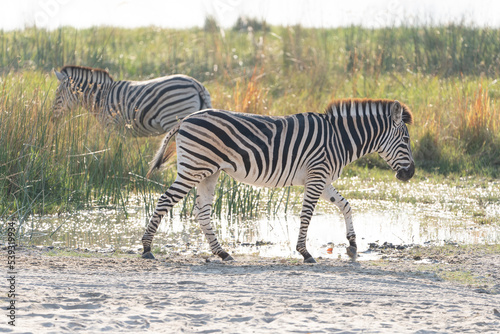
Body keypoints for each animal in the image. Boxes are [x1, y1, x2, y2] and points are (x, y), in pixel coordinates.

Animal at [52, 65, 211, 136]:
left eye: (57, 94)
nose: (52, 120)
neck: (100, 97)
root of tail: (196, 84)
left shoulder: (110, 125)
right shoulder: (120, 130)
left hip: (174, 120)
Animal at [142, 99, 414, 264]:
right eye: (406, 140)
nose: (410, 174)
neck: (339, 139)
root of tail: (185, 119)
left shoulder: (322, 178)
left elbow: (345, 205)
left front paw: (353, 244)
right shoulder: (316, 176)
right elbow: (307, 215)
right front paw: (305, 253)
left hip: (209, 172)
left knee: (203, 211)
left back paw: (222, 253)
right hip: (194, 168)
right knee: (165, 200)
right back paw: (146, 248)